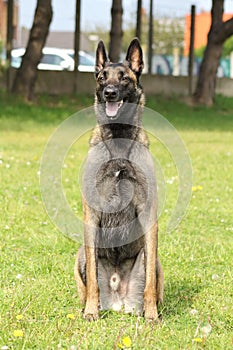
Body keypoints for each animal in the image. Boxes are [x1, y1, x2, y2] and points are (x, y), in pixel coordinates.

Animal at [74, 38, 164, 320]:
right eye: (102, 77)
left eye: (124, 77)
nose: (109, 93)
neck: (118, 137)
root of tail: (117, 301)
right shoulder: (91, 216)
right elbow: (93, 278)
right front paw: (91, 312)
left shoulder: (148, 214)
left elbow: (149, 283)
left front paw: (151, 315)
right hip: (80, 254)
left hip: (154, 259)